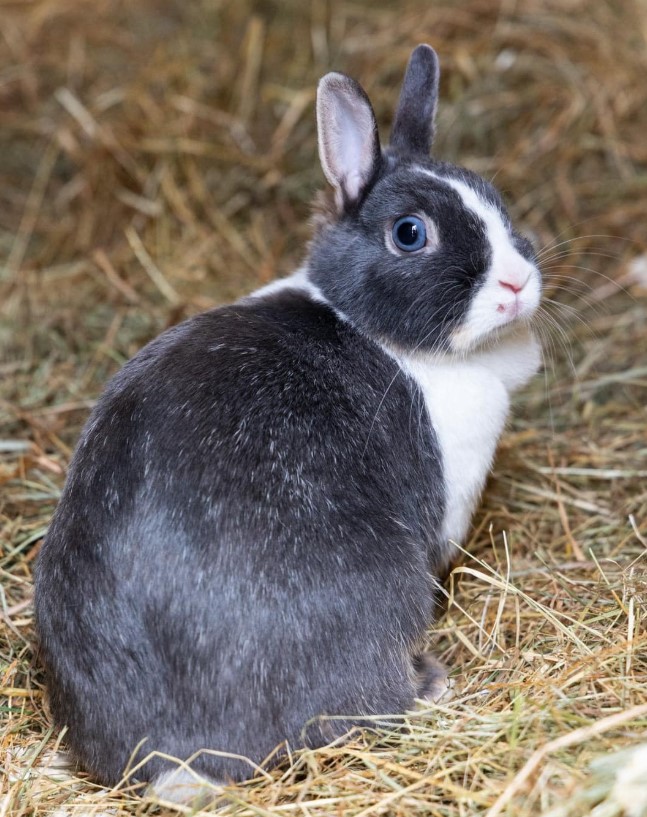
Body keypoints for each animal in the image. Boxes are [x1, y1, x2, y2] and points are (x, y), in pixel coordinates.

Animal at [34, 44, 541, 803]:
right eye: (410, 234)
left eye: (496, 200)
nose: (517, 283)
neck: (375, 330)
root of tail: (180, 757)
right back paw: (428, 682)